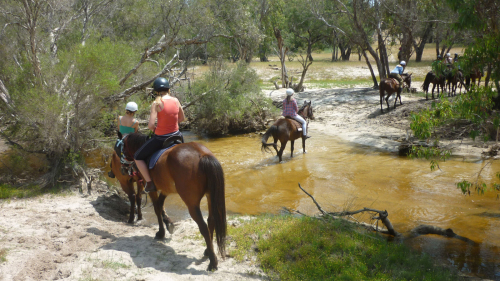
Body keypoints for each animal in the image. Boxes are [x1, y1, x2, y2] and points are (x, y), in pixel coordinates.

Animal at [122, 132, 226, 270]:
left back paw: (213, 262)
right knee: (211, 221)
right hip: (209, 196)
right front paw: (169, 223)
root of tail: (202, 154)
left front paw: (161, 233)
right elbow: (160, 205)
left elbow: (157, 208)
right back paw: (208, 252)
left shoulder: (151, 189)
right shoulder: (166, 189)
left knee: (203, 226)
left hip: (192, 204)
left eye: (122, 148)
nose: (124, 168)